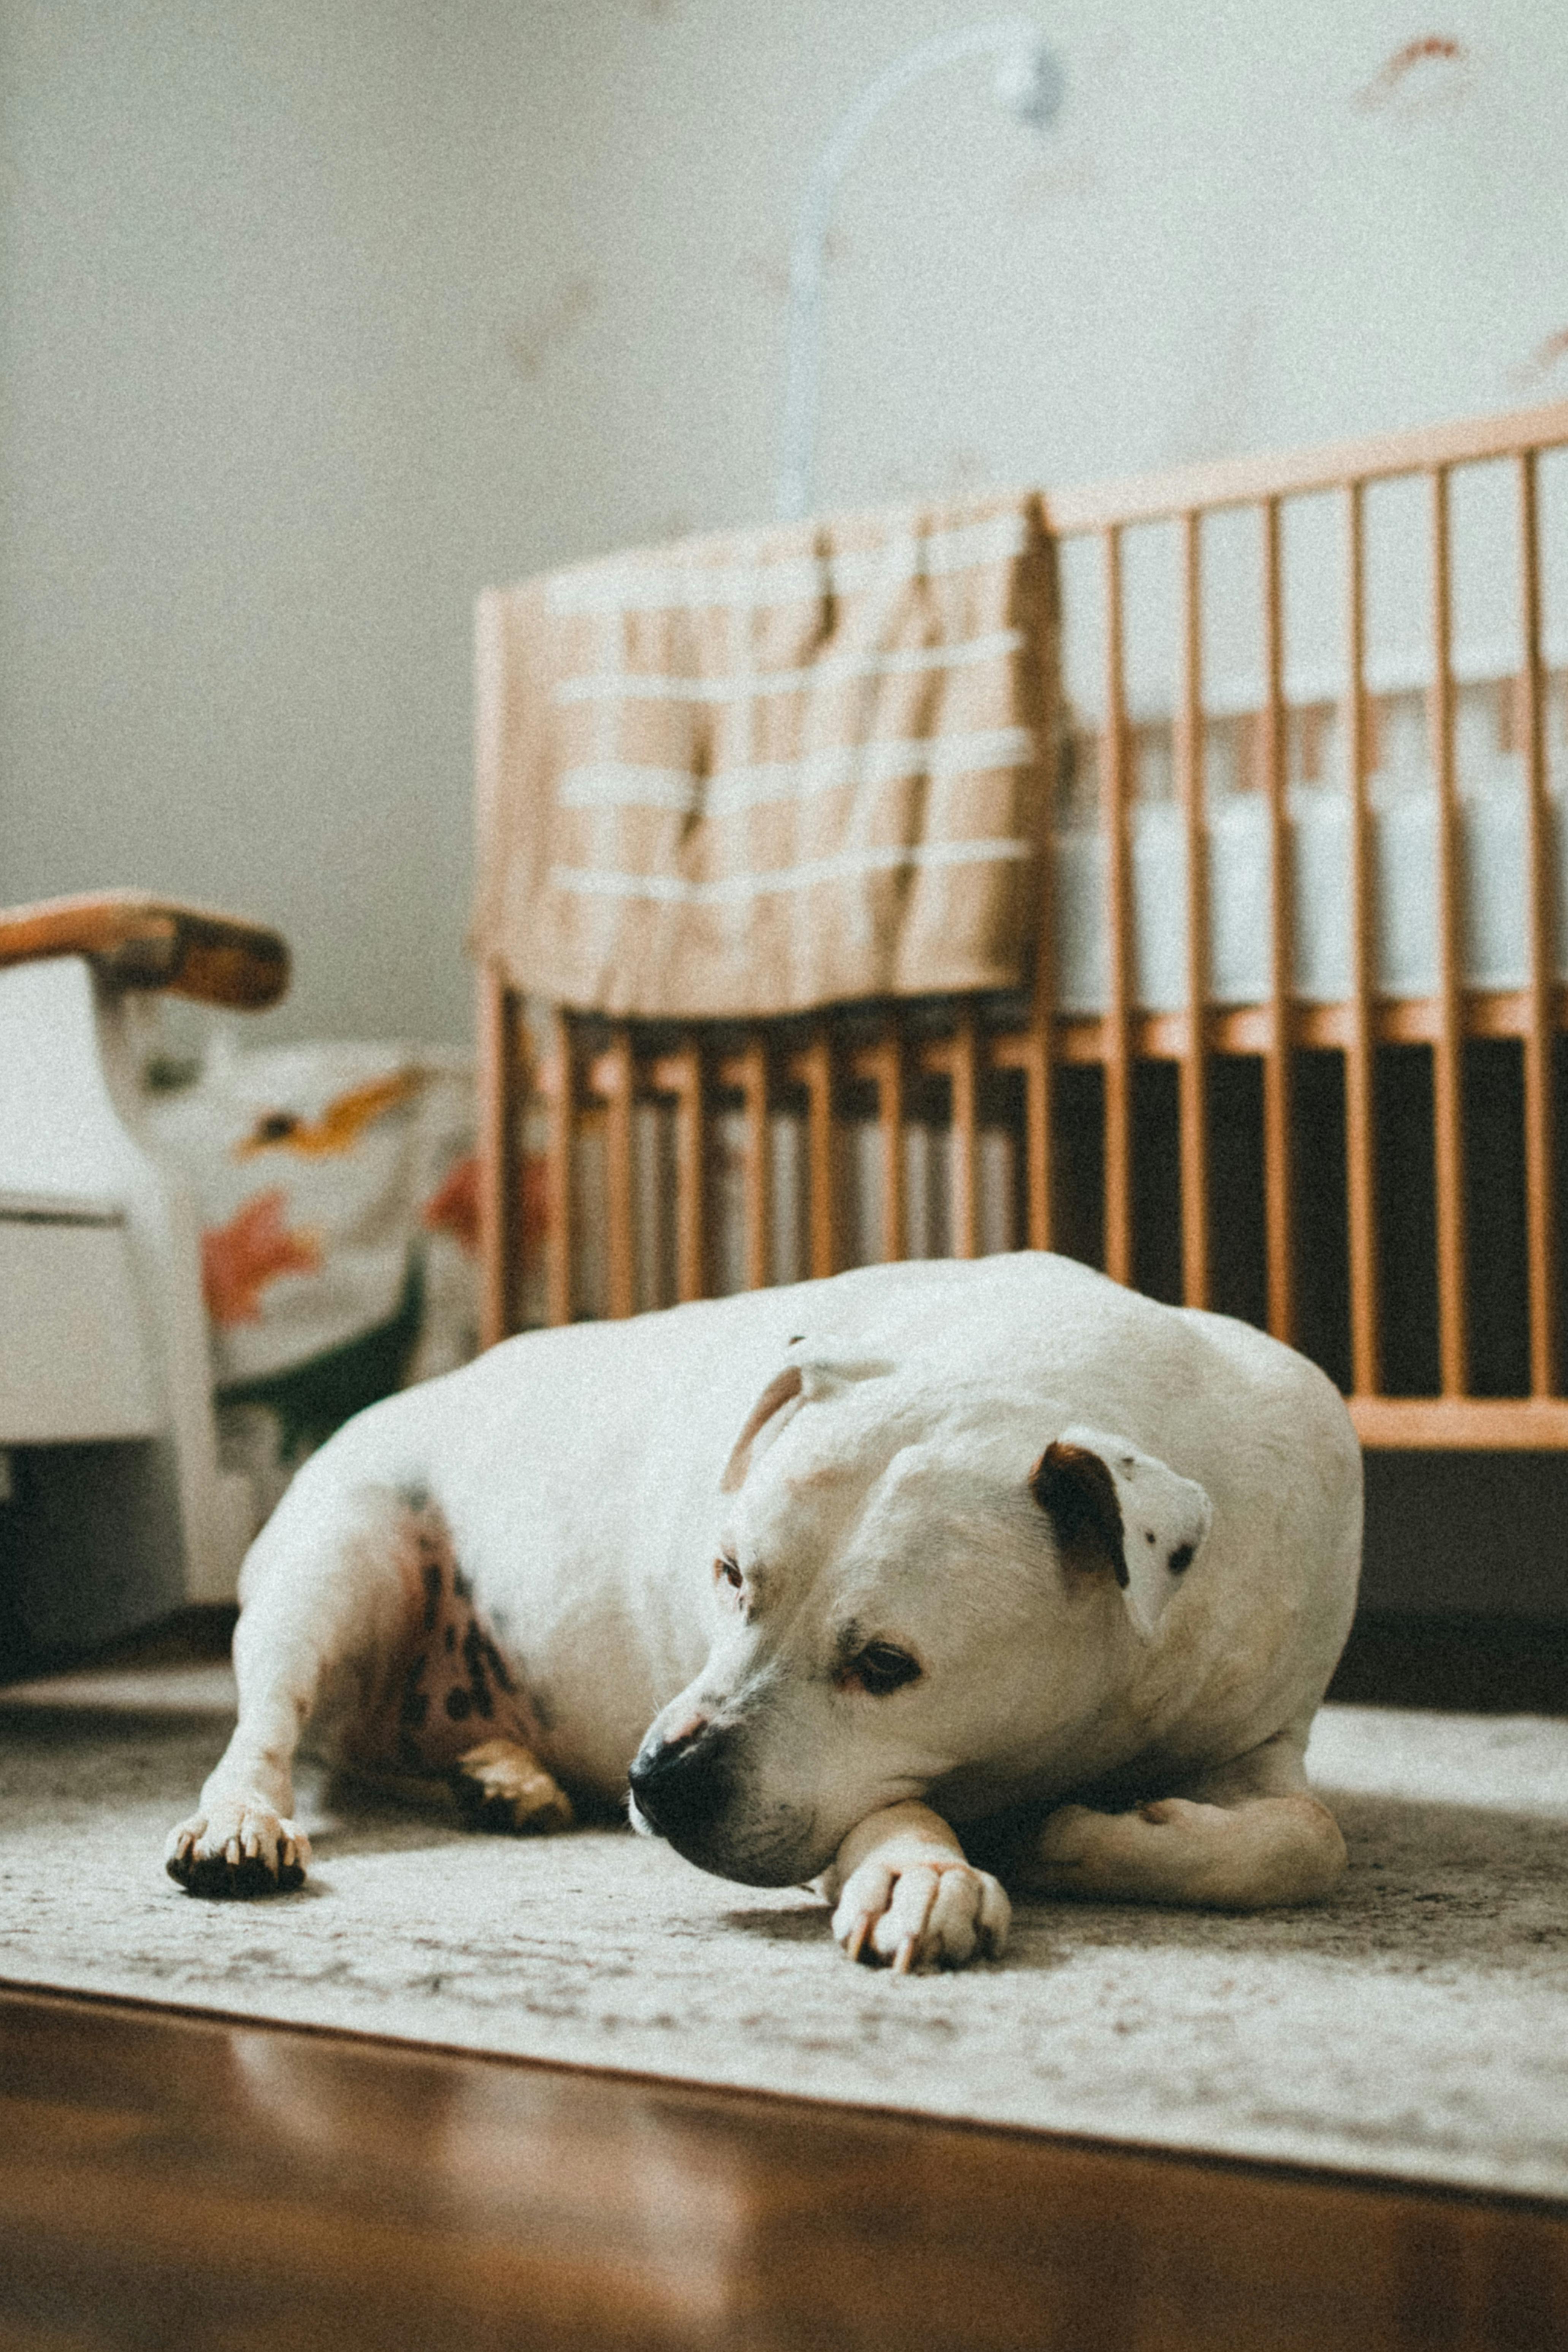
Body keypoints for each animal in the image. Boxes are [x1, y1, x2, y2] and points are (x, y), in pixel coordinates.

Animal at [162, 1251, 1363, 1966]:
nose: (658, 1780)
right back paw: (241, 1824)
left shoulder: (1261, 1730)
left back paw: (502, 1773)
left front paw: (1085, 1833)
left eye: (887, 1665)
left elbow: (1304, 1840)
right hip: (342, 1561)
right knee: (268, 1729)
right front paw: (925, 1869)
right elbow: (882, 1812)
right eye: (730, 1574)